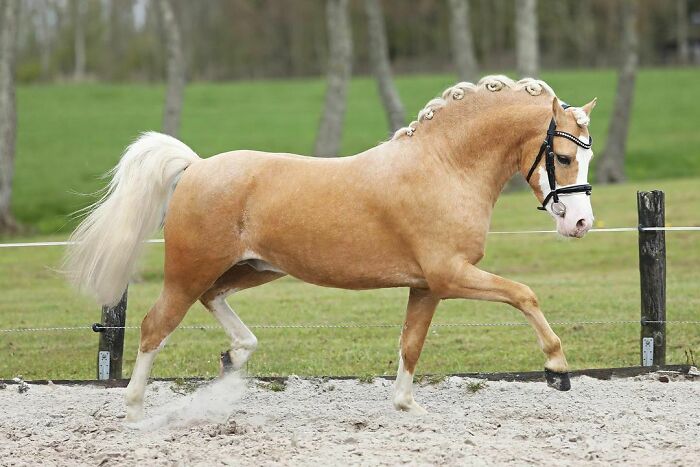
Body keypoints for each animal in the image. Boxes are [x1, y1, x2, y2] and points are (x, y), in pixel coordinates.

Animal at [64, 75, 597, 422]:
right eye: (563, 156)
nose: (582, 222)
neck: (445, 166)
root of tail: (195, 167)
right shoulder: (450, 275)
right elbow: (524, 294)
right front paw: (557, 370)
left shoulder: (427, 286)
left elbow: (411, 344)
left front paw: (407, 405)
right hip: (189, 269)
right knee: (156, 326)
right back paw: (135, 410)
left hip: (256, 268)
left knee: (211, 300)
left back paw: (235, 356)